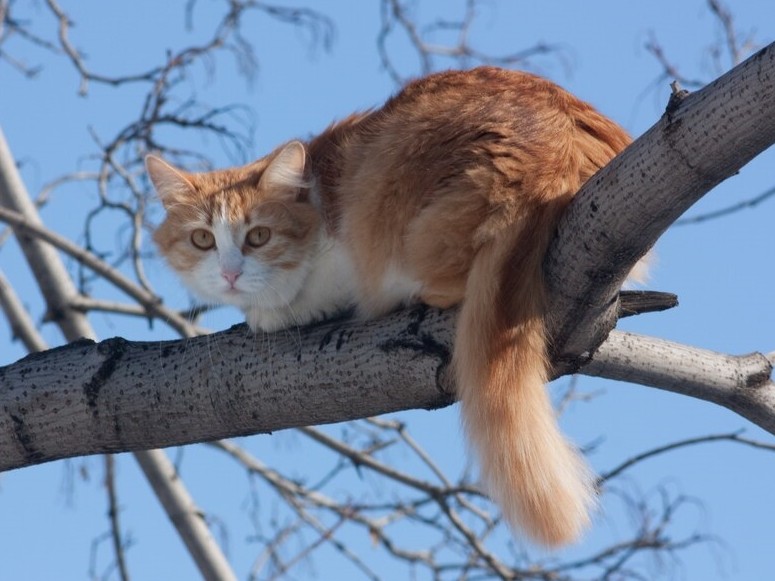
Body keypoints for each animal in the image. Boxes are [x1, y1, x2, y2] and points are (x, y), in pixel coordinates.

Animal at [147, 65, 644, 548]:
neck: (319, 197)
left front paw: (278, 310)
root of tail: (549, 150)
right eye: (202, 239)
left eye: (259, 236)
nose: (230, 273)